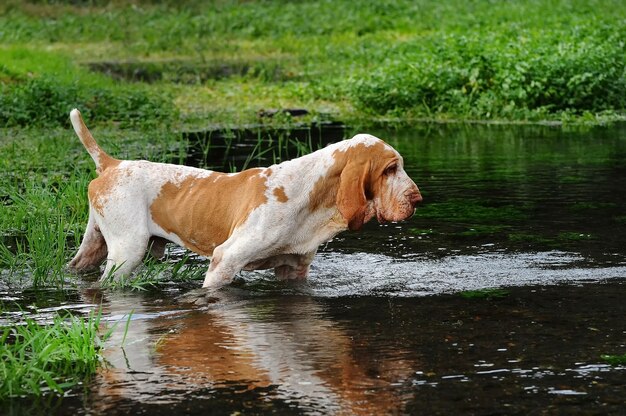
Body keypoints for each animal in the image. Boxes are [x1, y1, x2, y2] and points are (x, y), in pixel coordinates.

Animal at [67, 109, 420, 288]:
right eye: (390, 169)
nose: (417, 199)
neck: (308, 198)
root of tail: (112, 164)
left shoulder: (294, 270)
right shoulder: (225, 261)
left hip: (94, 248)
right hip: (127, 254)